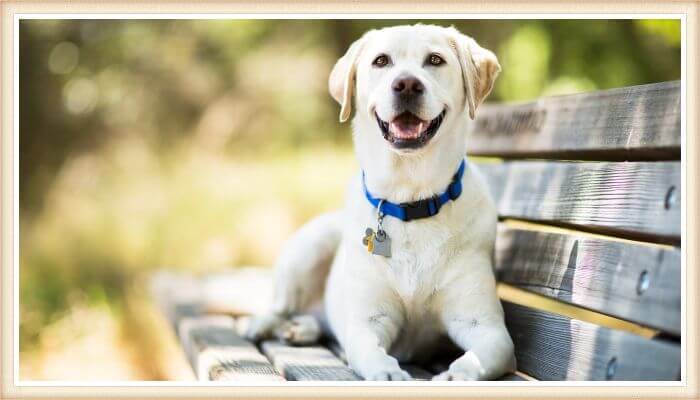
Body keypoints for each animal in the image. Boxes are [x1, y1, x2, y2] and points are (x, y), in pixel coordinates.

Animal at [245, 23, 516, 380]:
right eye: (381, 61)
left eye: (435, 59)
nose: (407, 84)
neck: (411, 200)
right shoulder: (368, 321)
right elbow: (368, 350)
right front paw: (387, 372)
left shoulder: (484, 326)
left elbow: (484, 354)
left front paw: (458, 374)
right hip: (309, 246)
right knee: (280, 306)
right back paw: (263, 324)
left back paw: (301, 328)